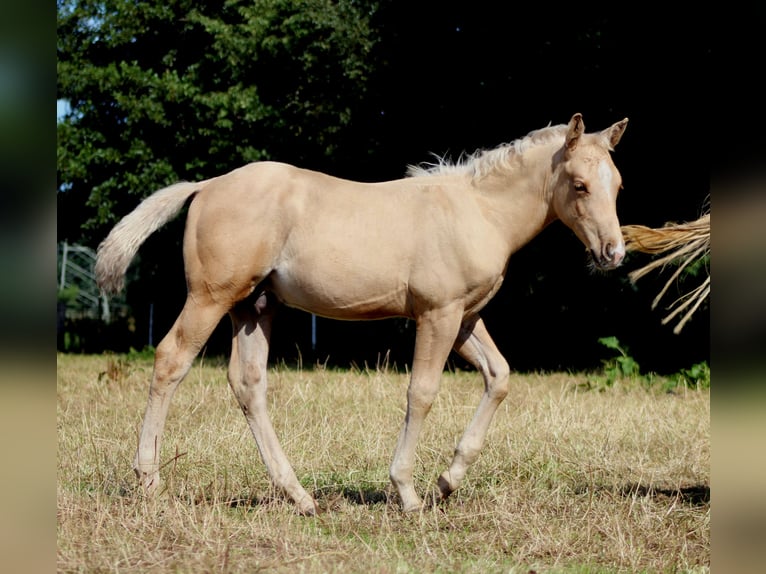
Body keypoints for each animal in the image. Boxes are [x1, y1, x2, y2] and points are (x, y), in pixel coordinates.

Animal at [95, 112, 628, 515]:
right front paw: (408, 492)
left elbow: (499, 377)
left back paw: (299, 496)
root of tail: (206, 185)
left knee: (248, 384)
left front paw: (447, 480)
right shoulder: (438, 314)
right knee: (171, 360)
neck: (478, 211)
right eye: (580, 185)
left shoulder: (465, 318)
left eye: (618, 185)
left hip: (253, 307)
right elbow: (422, 393)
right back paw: (149, 480)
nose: (613, 253)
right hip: (212, 297)